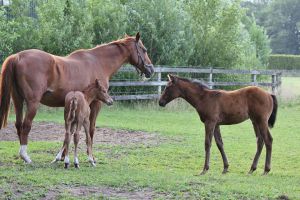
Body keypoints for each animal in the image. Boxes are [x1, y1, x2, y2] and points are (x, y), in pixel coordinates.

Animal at [0, 32, 154, 164]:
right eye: (144, 49)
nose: (151, 69)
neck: (99, 62)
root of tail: (18, 56)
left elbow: (70, 132)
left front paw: (63, 156)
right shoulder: (96, 103)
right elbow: (91, 130)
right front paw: (91, 156)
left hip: (18, 101)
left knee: (19, 125)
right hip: (32, 103)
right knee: (26, 125)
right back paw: (25, 156)